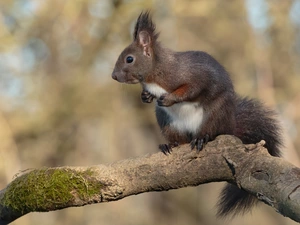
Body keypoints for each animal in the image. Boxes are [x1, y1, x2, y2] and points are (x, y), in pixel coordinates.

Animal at [111, 11, 282, 218]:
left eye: (129, 59)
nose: (113, 76)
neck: (154, 75)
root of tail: (229, 126)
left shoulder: (193, 76)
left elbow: (192, 89)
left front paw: (169, 98)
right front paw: (146, 96)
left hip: (214, 114)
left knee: (210, 132)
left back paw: (202, 138)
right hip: (167, 122)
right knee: (181, 140)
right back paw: (170, 144)